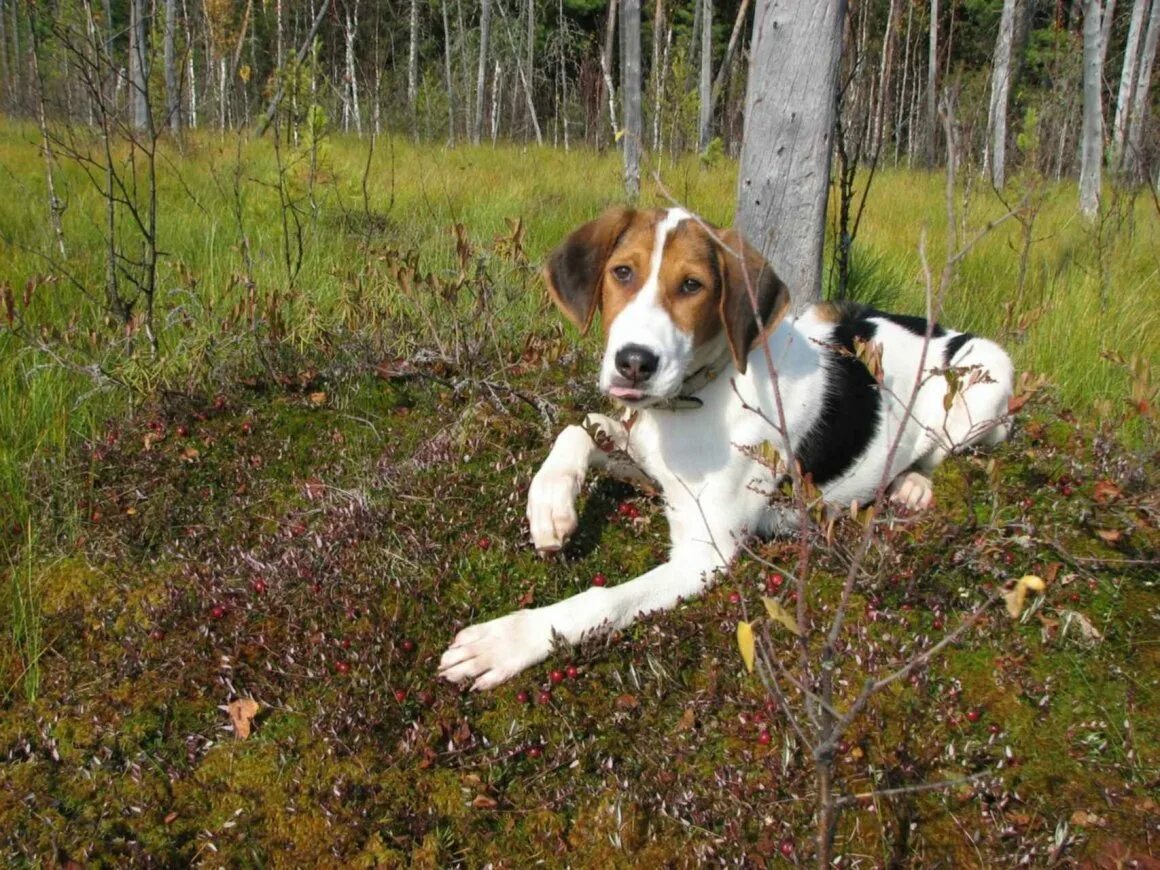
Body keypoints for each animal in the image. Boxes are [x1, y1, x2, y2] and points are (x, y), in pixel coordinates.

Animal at [438, 207, 1011, 691]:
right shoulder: (649, 464)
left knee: (942, 451)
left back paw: (912, 484)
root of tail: (942, 328)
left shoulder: (703, 556)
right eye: (622, 273)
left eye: (693, 285)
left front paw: (509, 639)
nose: (634, 363)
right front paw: (549, 508)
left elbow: (603, 600)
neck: (692, 399)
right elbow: (576, 431)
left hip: (983, 385)